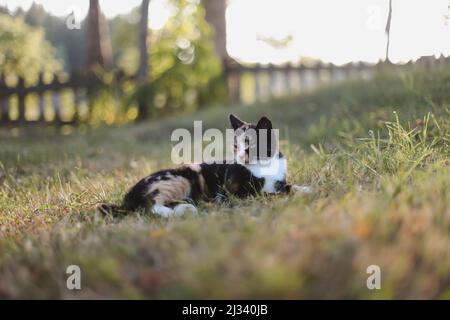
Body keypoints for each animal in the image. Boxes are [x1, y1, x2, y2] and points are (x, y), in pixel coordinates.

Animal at [98, 115, 312, 218]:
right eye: (235, 146)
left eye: (249, 145)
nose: (240, 157)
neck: (263, 165)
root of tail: (128, 196)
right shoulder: (233, 193)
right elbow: (265, 194)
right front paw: (281, 195)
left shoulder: (279, 180)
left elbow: (288, 186)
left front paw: (306, 189)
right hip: (178, 179)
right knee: (149, 204)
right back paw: (178, 212)